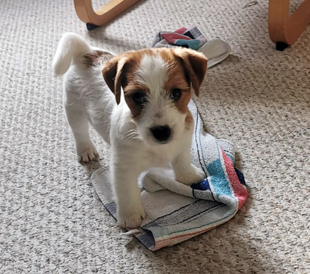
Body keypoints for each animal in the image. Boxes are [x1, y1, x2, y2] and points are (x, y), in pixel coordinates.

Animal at [52, 32, 208, 229]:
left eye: (176, 93)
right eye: (138, 97)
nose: (162, 132)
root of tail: (87, 53)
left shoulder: (183, 142)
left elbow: (182, 160)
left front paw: (187, 176)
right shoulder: (123, 168)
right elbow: (127, 193)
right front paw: (130, 217)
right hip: (74, 109)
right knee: (79, 132)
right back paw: (86, 150)